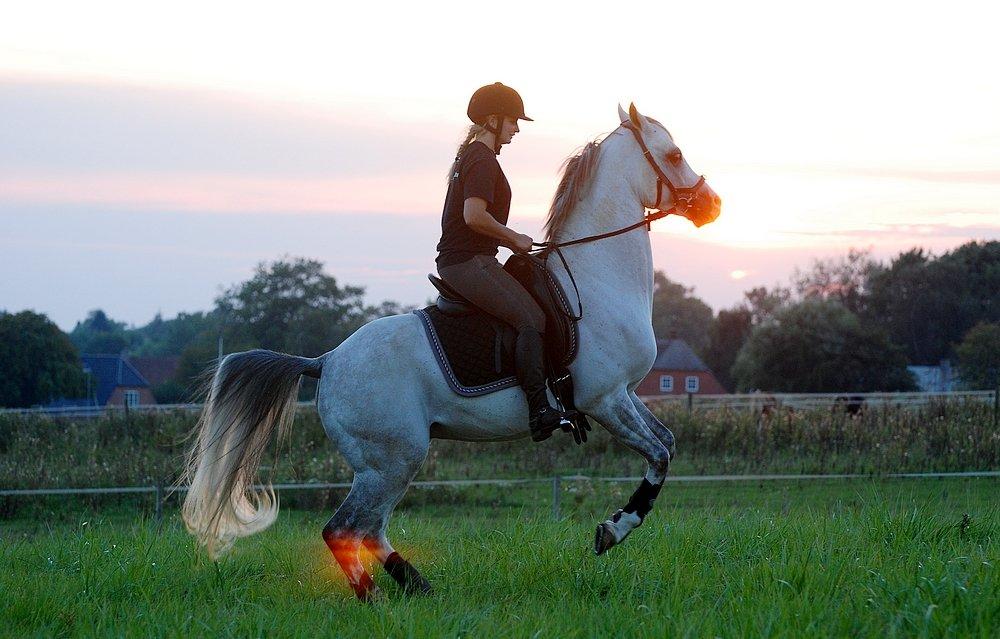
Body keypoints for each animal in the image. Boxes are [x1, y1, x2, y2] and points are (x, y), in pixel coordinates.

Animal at [184, 104, 724, 600]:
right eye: (675, 154)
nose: (712, 205)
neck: (592, 280)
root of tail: (326, 361)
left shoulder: (625, 393)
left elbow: (666, 443)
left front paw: (614, 527)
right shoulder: (604, 398)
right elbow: (659, 455)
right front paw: (611, 531)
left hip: (388, 464)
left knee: (370, 530)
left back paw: (417, 587)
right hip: (390, 461)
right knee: (345, 529)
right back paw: (375, 600)